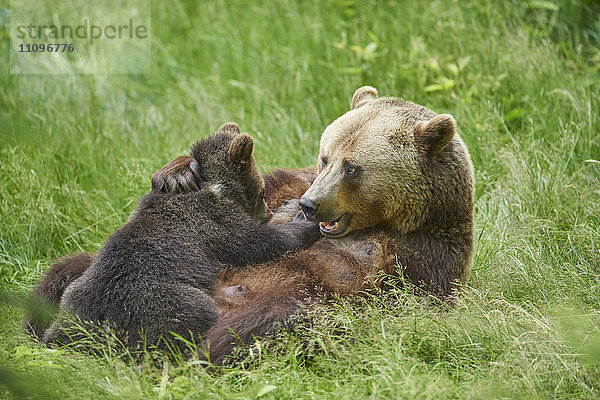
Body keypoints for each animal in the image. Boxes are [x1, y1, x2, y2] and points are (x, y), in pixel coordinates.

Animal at [39, 123, 322, 352]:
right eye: (261, 191)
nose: (267, 212)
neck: (216, 188)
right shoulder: (216, 224)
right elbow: (257, 243)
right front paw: (302, 224)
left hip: (73, 296)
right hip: (166, 302)